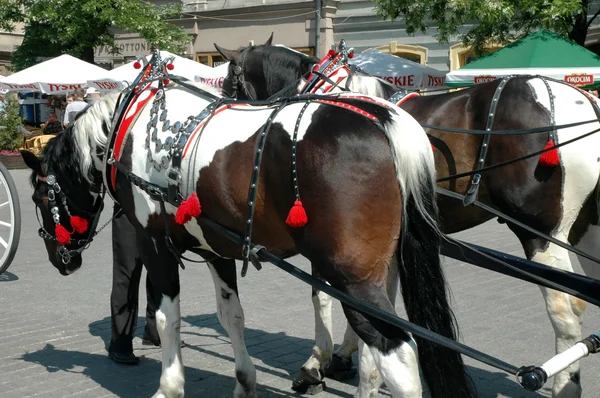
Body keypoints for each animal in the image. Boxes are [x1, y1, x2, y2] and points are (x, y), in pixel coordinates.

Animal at [21, 51, 476, 398]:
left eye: (40, 197)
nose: (62, 260)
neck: (133, 124)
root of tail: (386, 120)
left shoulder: (156, 246)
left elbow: (168, 318)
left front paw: (169, 386)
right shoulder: (215, 249)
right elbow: (231, 316)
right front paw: (244, 381)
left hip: (354, 279)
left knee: (396, 354)